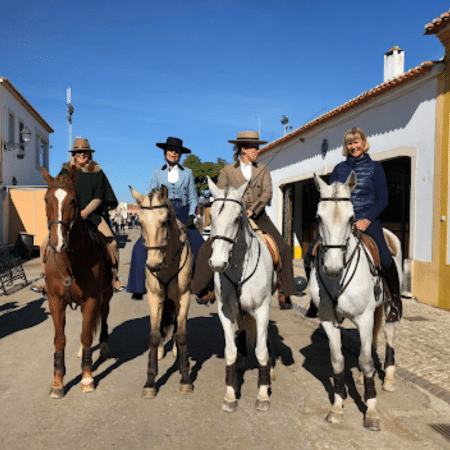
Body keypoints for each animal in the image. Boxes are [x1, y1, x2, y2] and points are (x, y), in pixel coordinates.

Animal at [41, 167, 114, 400]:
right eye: (46, 199)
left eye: (73, 201)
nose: (58, 243)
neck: (69, 262)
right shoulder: (55, 301)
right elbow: (60, 339)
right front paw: (57, 381)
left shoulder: (91, 300)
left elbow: (86, 336)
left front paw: (87, 378)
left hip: (106, 296)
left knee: (102, 319)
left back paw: (104, 350)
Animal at [129, 185, 194, 400]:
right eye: (140, 222)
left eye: (165, 221)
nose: (153, 264)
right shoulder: (154, 297)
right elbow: (154, 335)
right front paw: (150, 382)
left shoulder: (184, 296)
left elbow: (181, 334)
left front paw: (185, 377)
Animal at [207, 178, 274, 414]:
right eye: (211, 215)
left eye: (237, 218)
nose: (218, 263)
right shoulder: (226, 312)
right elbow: (231, 351)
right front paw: (230, 395)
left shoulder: (262, 310)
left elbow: (262, 351)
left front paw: (263, 395)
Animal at [312, 171, 402, 430]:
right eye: (318, 217)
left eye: (352, 217)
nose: (332, 267)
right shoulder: (328, 320)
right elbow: (338, 361)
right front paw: (337, 407)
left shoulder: (363, 317)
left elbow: (366, 360)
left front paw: (371, 411)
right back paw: (362, 379)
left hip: (389, 307)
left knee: (388, 335)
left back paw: (388, 379)